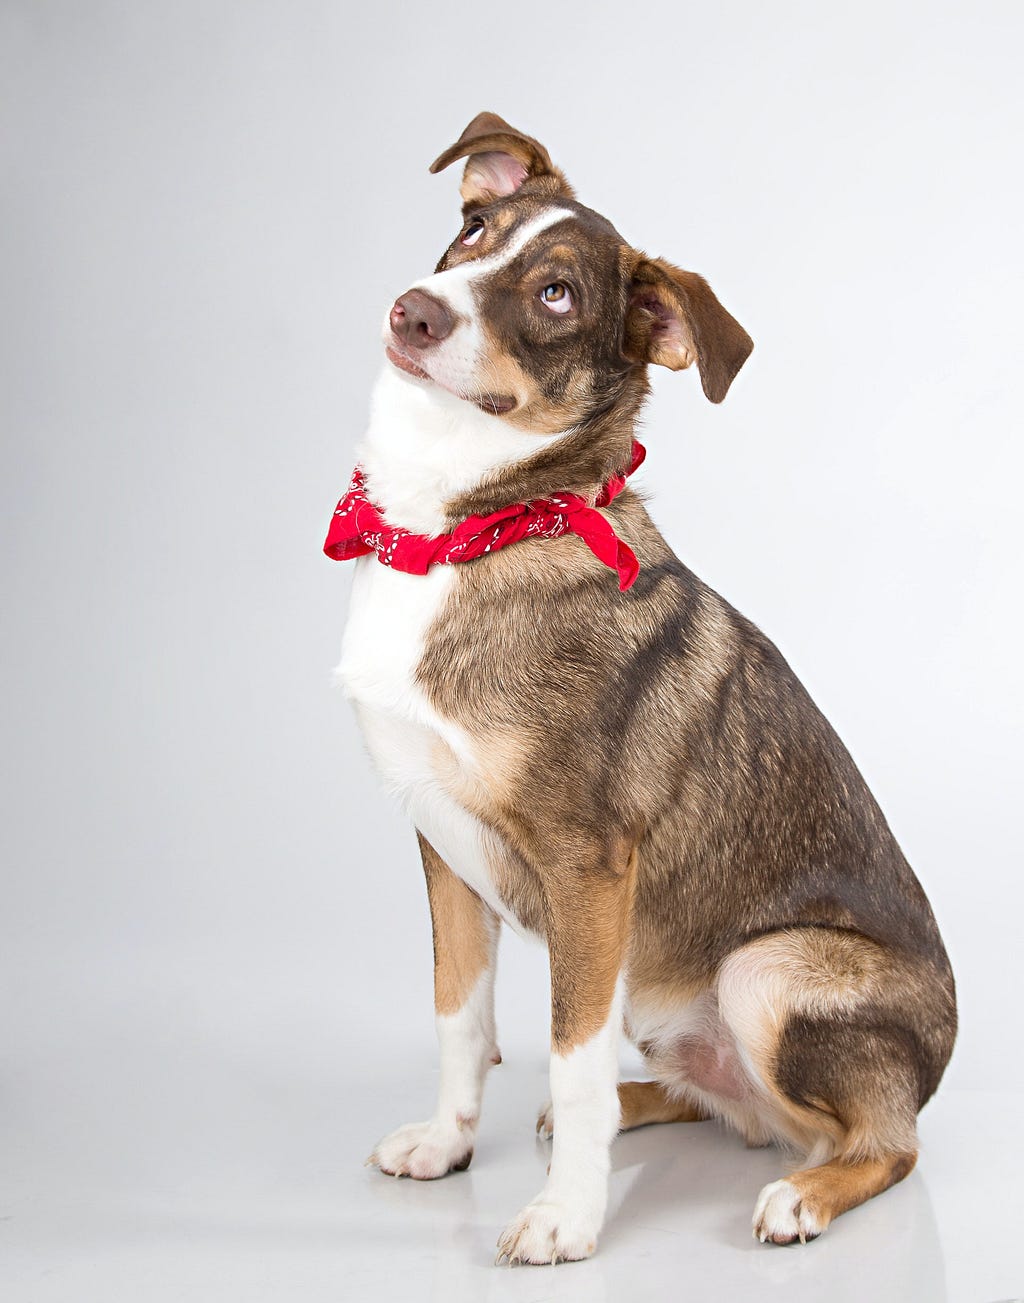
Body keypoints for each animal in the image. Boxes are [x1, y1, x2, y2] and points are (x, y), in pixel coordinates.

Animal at [325, 109, 948, 1261]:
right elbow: (459, 1016)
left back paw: (806, 1192)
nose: (415, 310)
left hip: (764, 971)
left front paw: (565, 1216)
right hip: (666, 1005)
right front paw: (449, 1142)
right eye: (472, 231)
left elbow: (569, 1059)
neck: (465, 529)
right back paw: (655, 1101)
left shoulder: (587, 868)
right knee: (736, 1109)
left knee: (880, 1142)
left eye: (557, 294)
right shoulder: (439, 839)